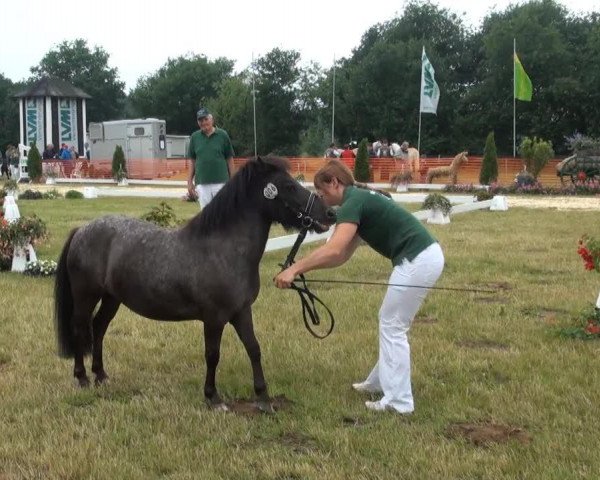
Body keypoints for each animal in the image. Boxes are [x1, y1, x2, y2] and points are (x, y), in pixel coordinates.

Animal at [54, 156, 336, 410]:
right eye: (288, 186)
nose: (329, 213)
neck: (223, 250)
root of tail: (81, 230)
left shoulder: (242, 312)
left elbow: (253, 348)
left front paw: (263, 398)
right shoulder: (214, 318)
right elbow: (213, 355)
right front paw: (213, 398)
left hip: (112, 298)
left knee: (99, 327)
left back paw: (101, 375)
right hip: (86, 296)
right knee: (80, 328)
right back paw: (82, 378)